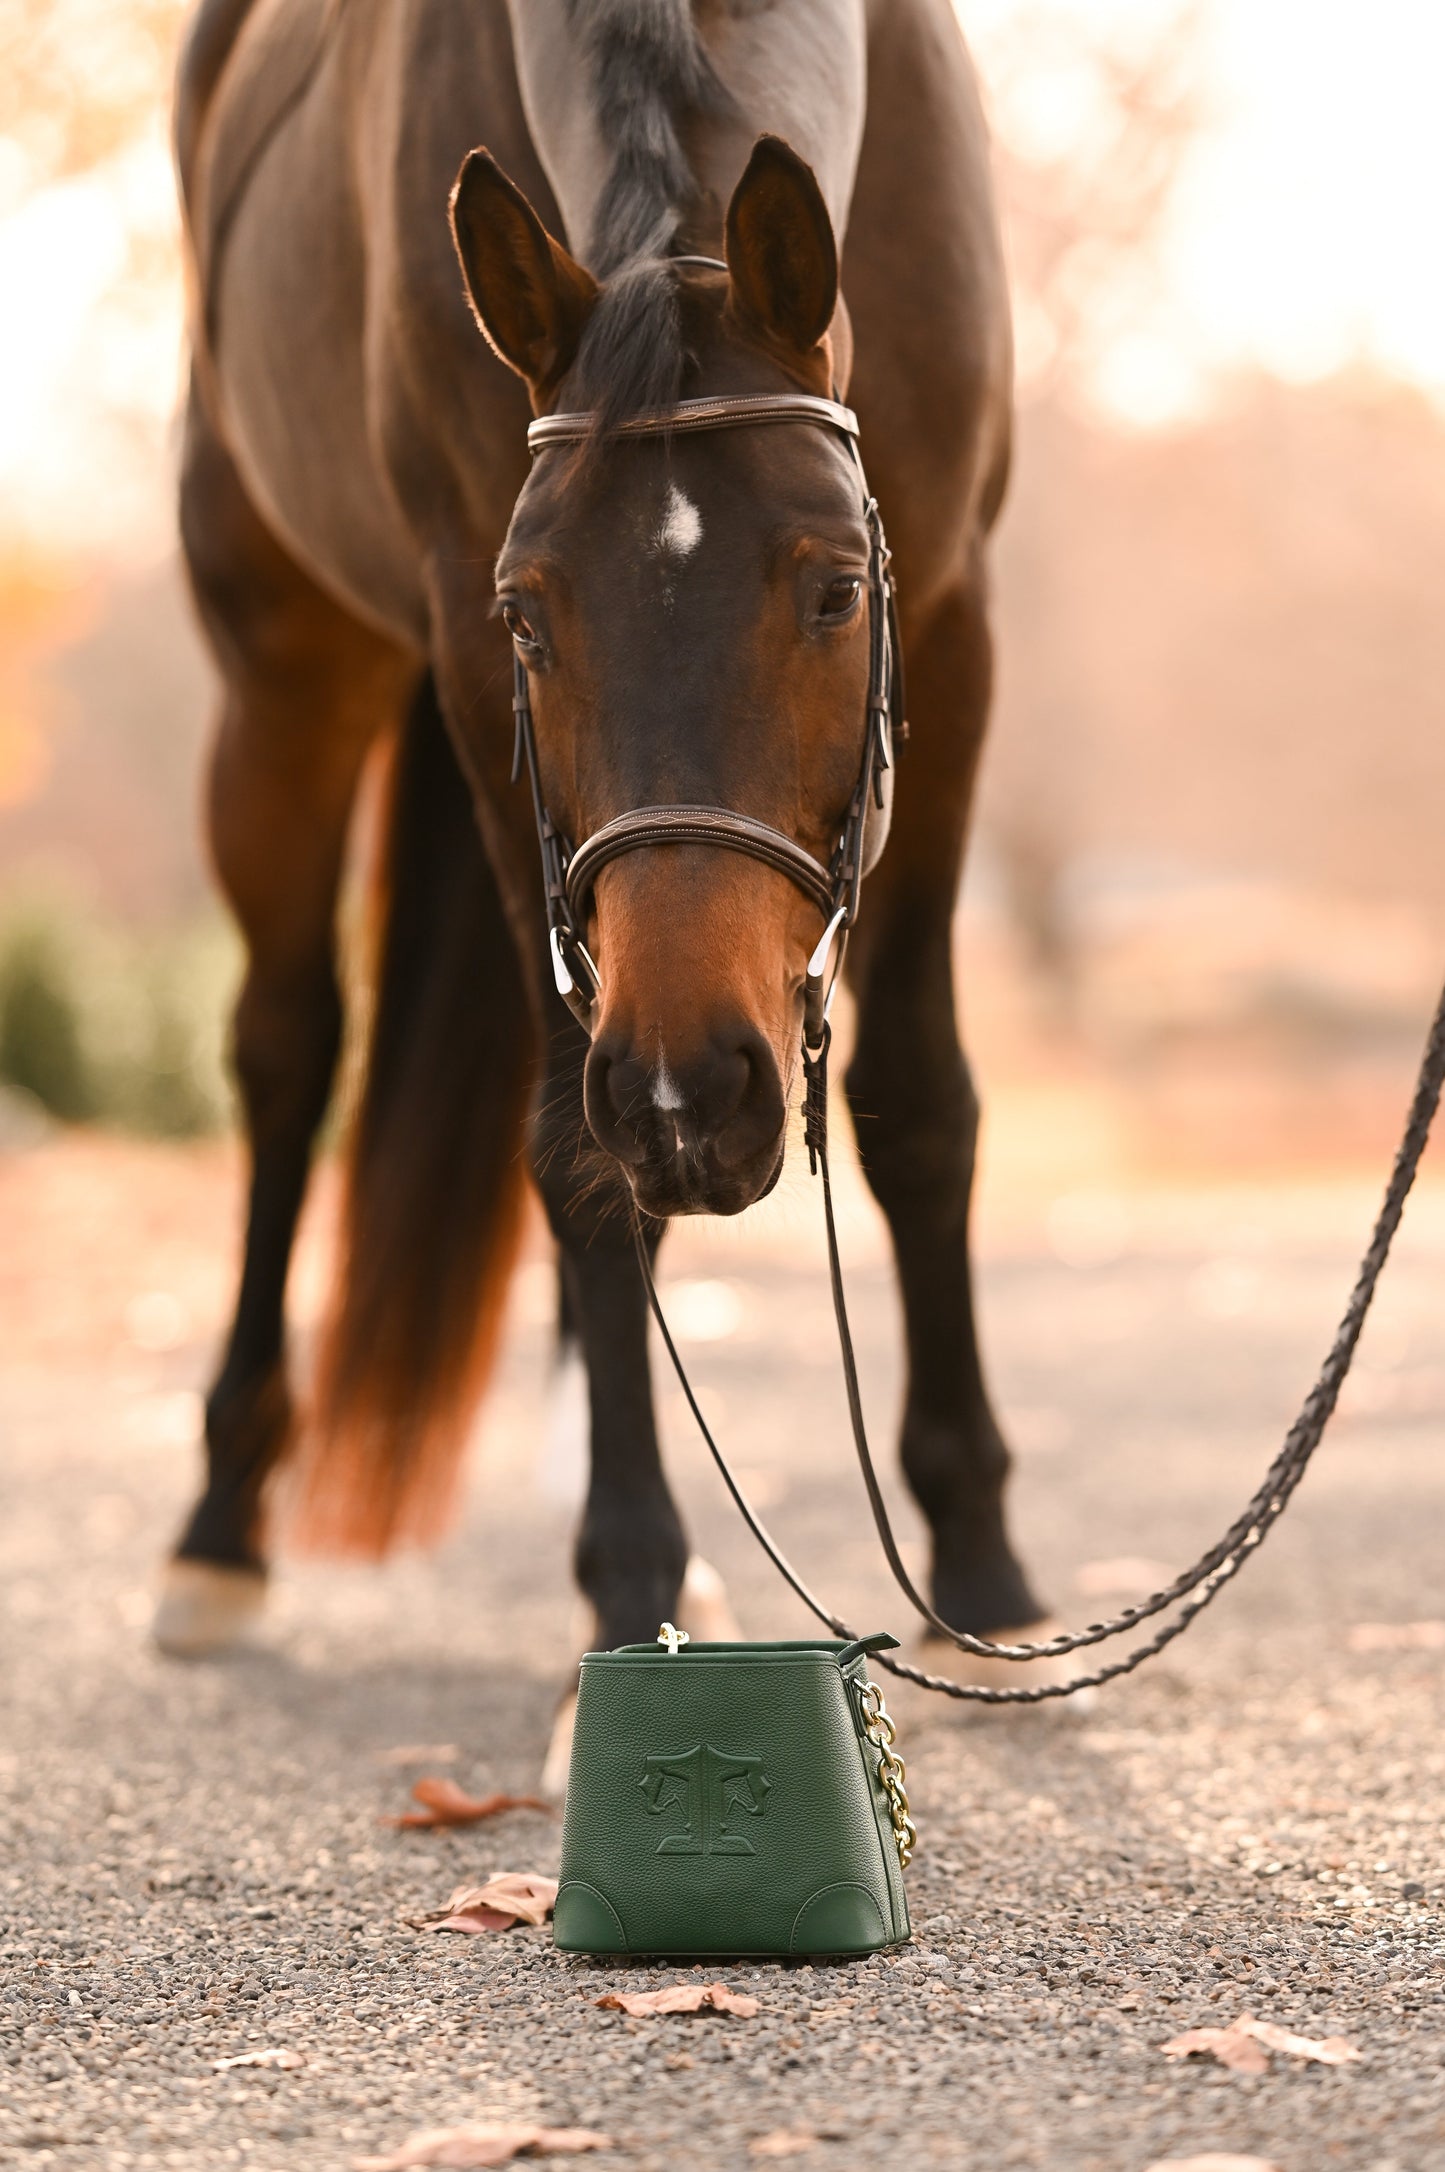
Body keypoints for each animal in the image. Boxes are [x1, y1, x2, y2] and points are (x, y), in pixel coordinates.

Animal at [157, 0, 1043, 1737]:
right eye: (528, 614)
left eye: (837, 588)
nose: (692, 1086)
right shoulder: (452, 638)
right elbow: (575, 1162)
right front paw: (631, 1592)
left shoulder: (955, 617)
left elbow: (921, 1104)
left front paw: (980, 1563)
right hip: (282, 681)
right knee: (288, 1055)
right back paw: (219, 1529)